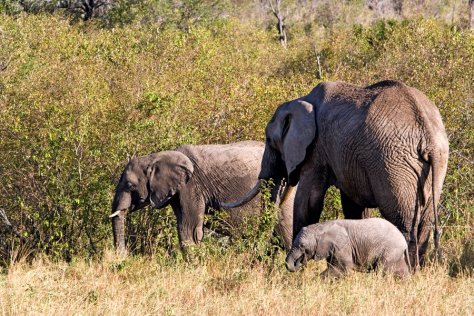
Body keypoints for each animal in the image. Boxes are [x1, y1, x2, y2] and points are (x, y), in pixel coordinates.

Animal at [109, 141, 294, 252]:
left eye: (130, 185)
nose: (123, 256)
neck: (156, 157)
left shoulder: (191, 186)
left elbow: (189, 230)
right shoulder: (178, 191)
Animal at [224, 80, 450, 266]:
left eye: (270, 141)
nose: (260, 259)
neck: (302, 101)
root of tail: (428, 134)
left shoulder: (317, 149)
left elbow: (308, 201)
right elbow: (353, 206)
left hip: (394, 164)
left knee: (403, 222)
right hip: (435, 163)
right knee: (424, 224)